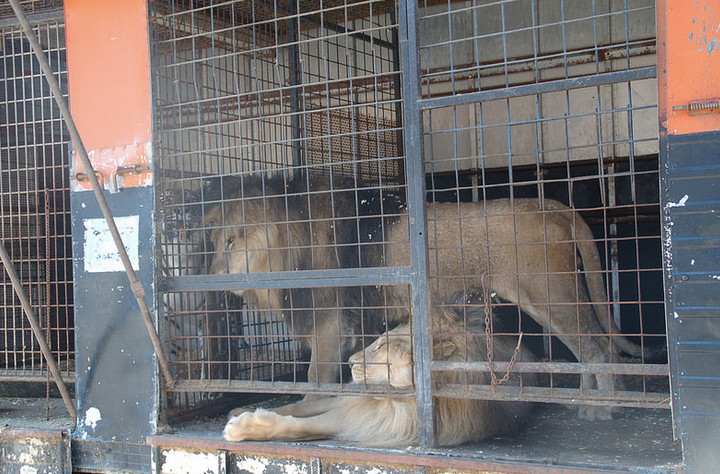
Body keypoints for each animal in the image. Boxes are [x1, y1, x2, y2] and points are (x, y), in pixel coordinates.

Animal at [224, 296, 536, 448]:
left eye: (383, 345)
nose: (349, 362)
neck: (391, 400)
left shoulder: (373, 420)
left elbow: (300, 425)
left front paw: (242, 427)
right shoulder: (354, 402)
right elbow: (301, 406)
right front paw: (240, 411)